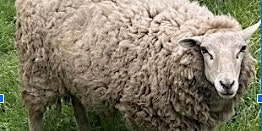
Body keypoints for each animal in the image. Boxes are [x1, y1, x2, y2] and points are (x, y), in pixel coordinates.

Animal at [14, 0, 260, 130]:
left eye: (242, 49)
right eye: (204, 50)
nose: (227, 84)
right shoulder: (144, 113)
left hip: (72, 69)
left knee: (77, 101)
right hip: (38, 67)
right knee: (34, 110)